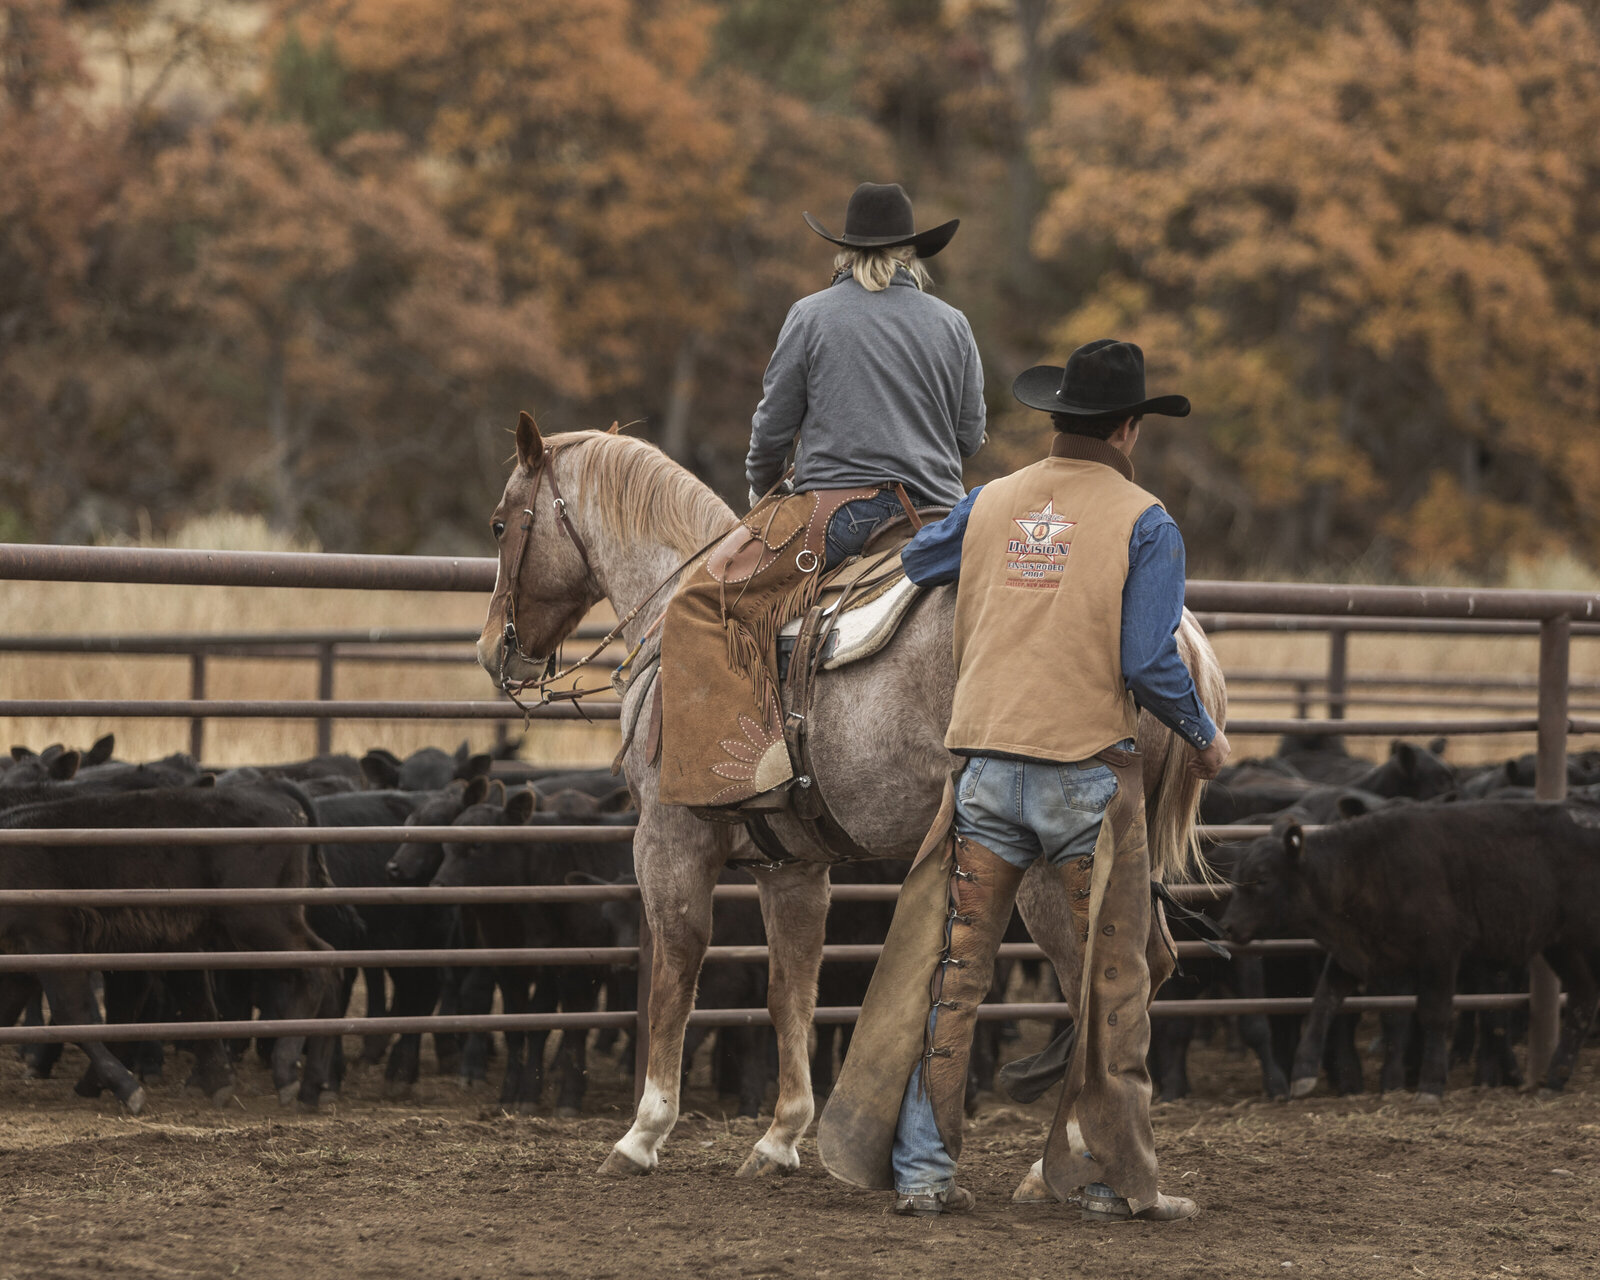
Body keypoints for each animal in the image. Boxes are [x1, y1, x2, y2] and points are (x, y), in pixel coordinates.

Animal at [0, 780, 337, 1107]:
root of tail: (277, 793)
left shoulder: (50, 940)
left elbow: (72, 1014)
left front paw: (127, 1089)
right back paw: (314, 1086)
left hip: (260, 922)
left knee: (318, 967)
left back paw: (287, 1071)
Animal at [473, 416, 1222, 1184]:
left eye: (501, 523)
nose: (493, 649)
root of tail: (1166, 633)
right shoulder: (792, 867)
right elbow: (791, 990)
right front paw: (780, 1137)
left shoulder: (668, 842)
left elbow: (675, 975)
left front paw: (643, 1133)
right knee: (1143, 967)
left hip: (1052, 862)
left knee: (1091, 975)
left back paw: (1060, 1161)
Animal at [1222, 800, 1600, 1100]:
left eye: (1262, 880)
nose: (1227, 926)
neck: (1368, 867)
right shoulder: (1357, 955)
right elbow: (1323, 1002)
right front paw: (1303, 1072)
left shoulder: (1441, 952)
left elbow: (1433, 1013)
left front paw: (1430, 1084)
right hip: (1564, 944)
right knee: (1583, 1000)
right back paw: (1555, 1079)